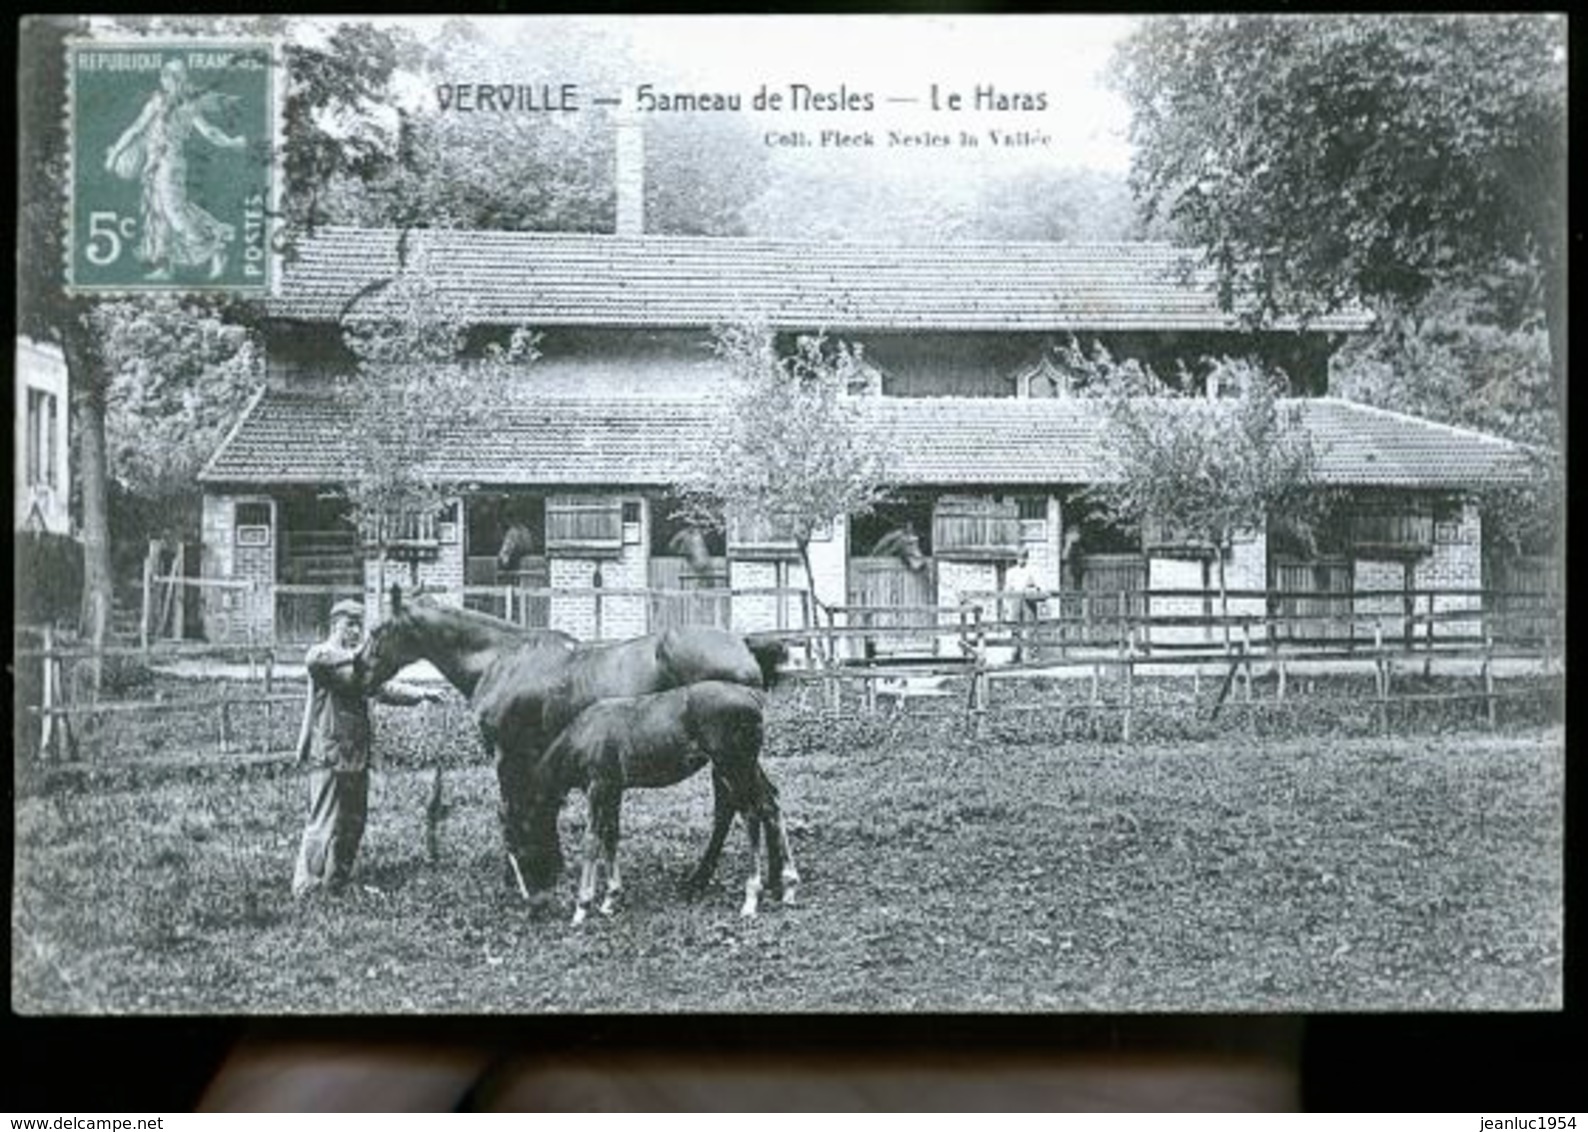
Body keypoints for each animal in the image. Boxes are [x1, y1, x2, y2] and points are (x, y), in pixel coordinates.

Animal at [533, 679, 787, 920]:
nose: (535, 905)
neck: (586, 733)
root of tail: (751, 695)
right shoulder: (613, 790)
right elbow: (611, 835)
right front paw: (610, 898)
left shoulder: (598, 788)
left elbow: (591, 839)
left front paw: (582, 907)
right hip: (745, 767)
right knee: (769, 803)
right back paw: (786, 885)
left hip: (733, 767)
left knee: (750, 814)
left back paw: (752, 896)